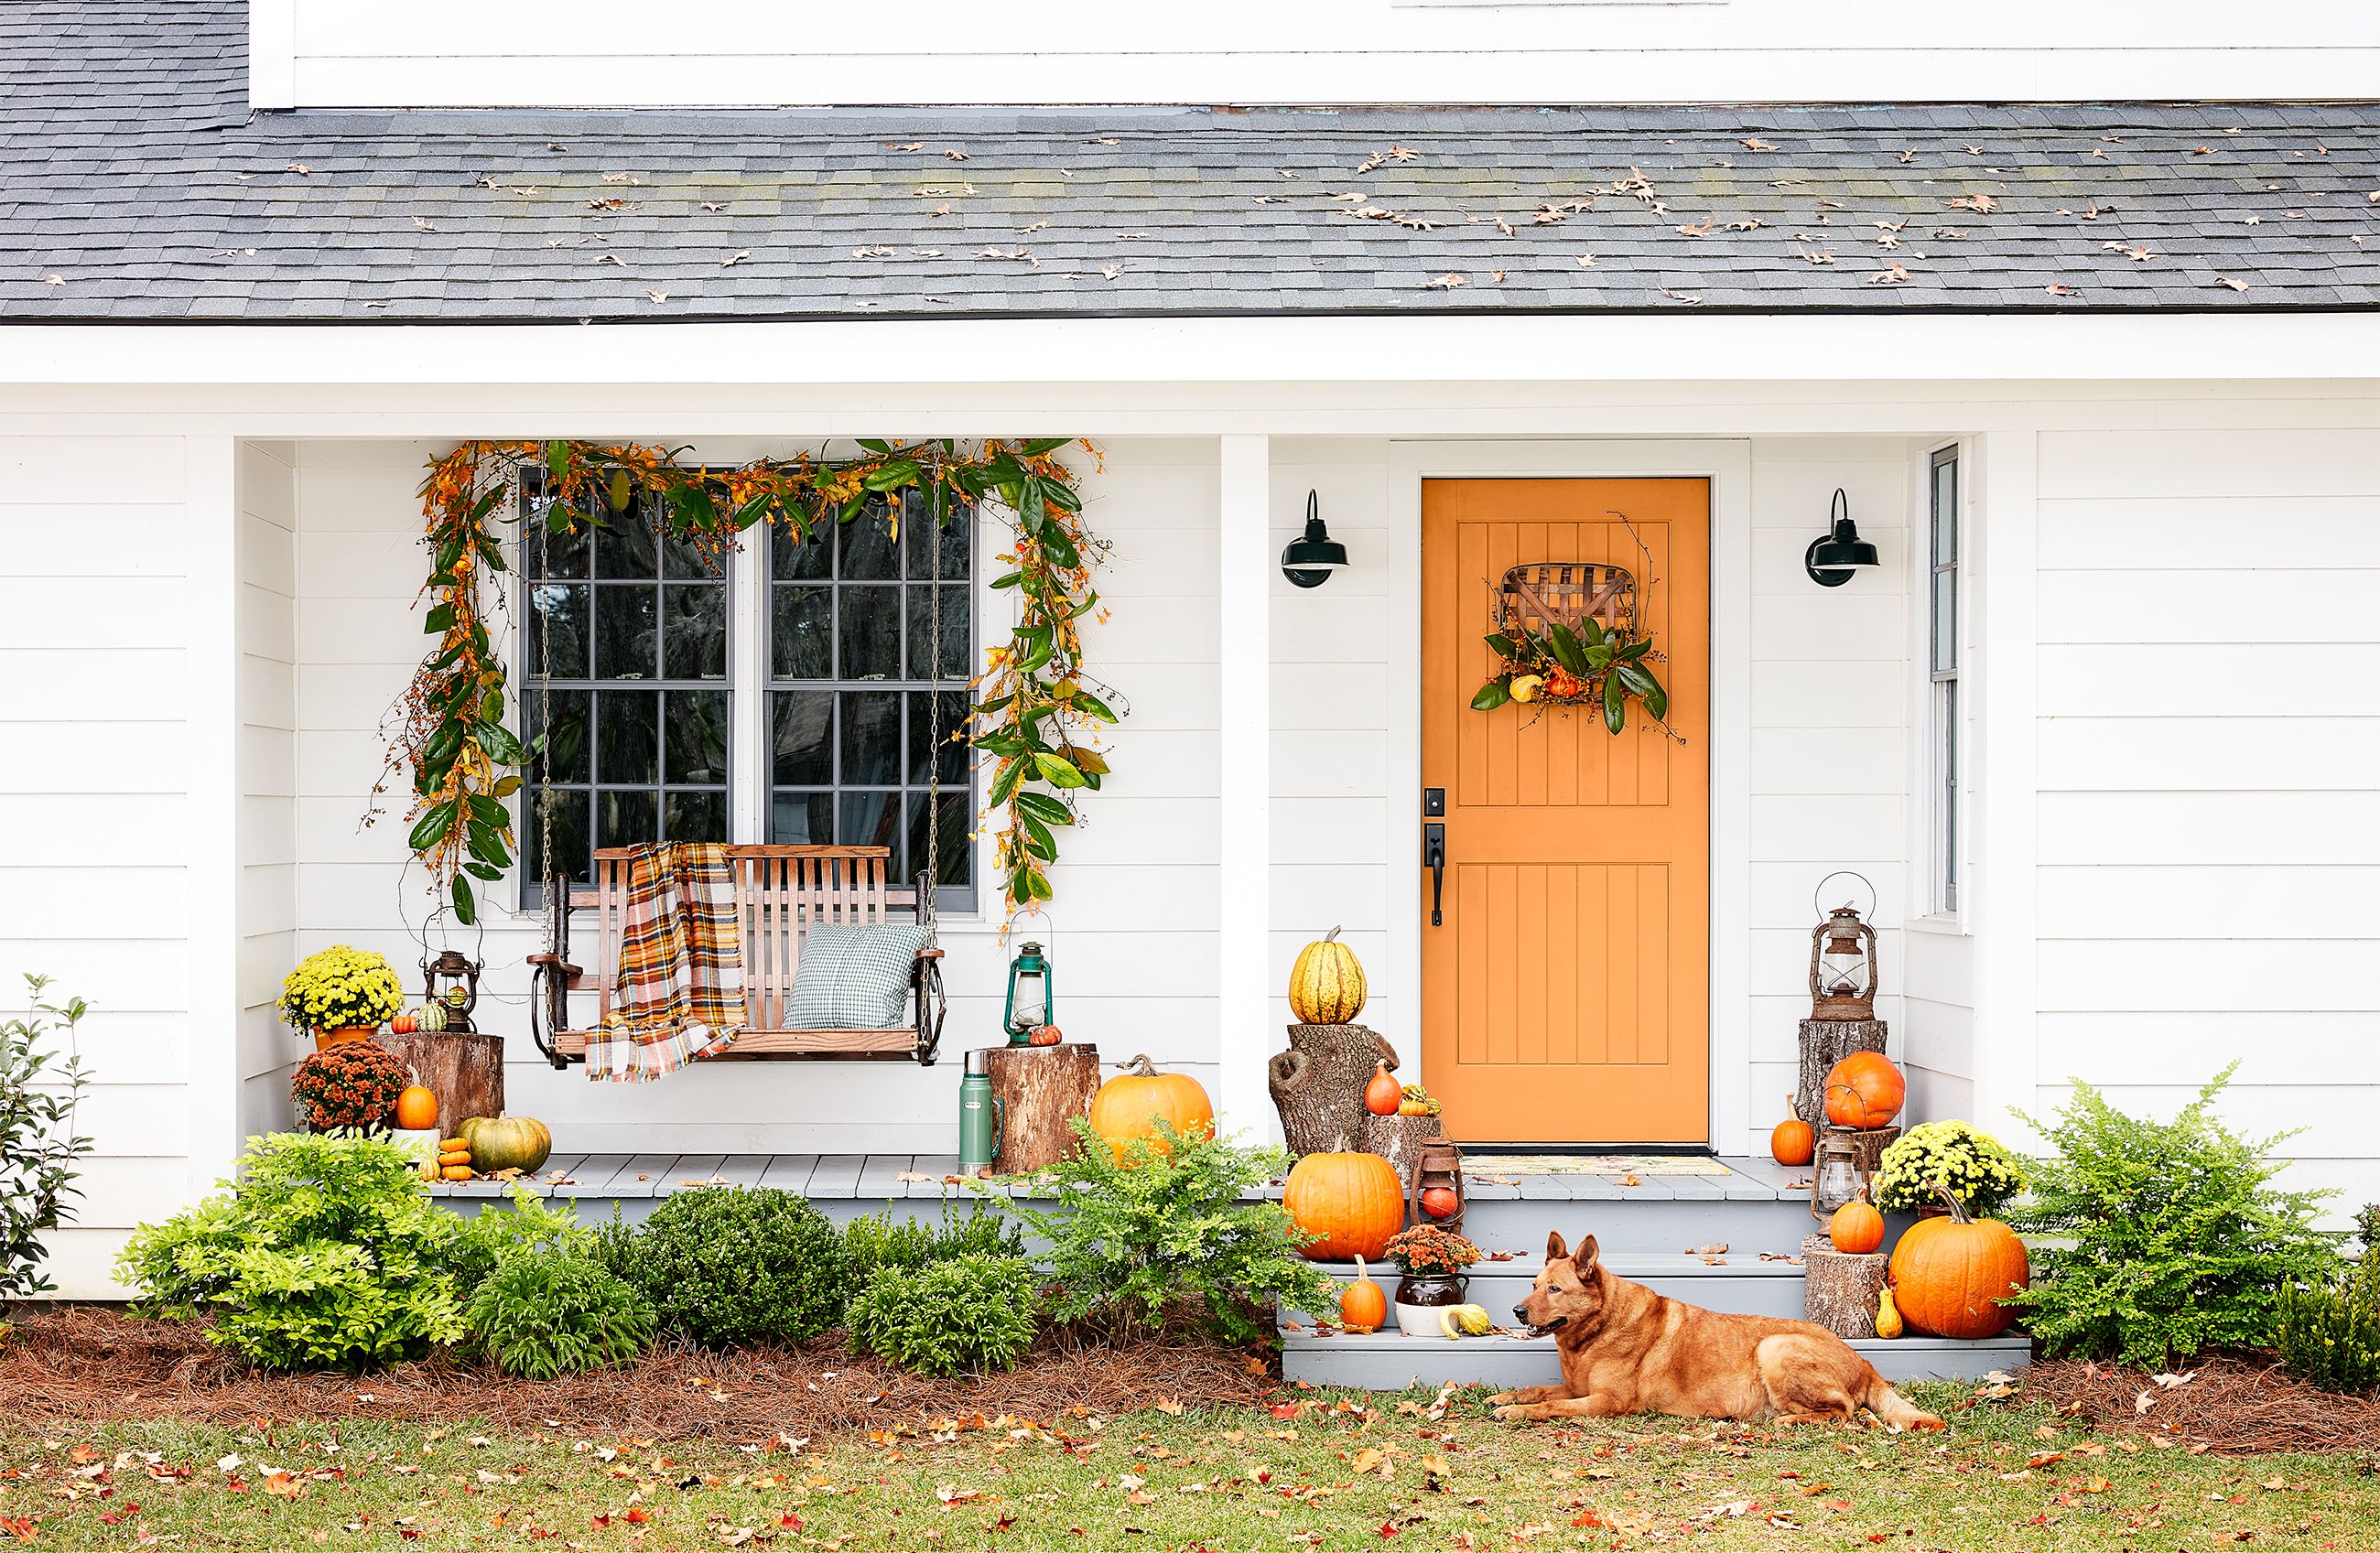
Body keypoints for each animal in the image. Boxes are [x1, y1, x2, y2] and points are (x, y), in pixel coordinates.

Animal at [1494, 1226, 1942, 1427]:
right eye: (1533, 1285)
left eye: (1555, 1289)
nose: (1516, 1311)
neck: (1595, 1332)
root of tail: (1865, 1362)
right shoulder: (1577, 1388)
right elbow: (1539, 1389)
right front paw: (1508, 1398)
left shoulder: (1608, 1402)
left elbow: (1549, 1405)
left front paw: (1518, 1412)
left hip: (1774, 1348)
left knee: (1844, 1411)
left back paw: (1788, 1422)